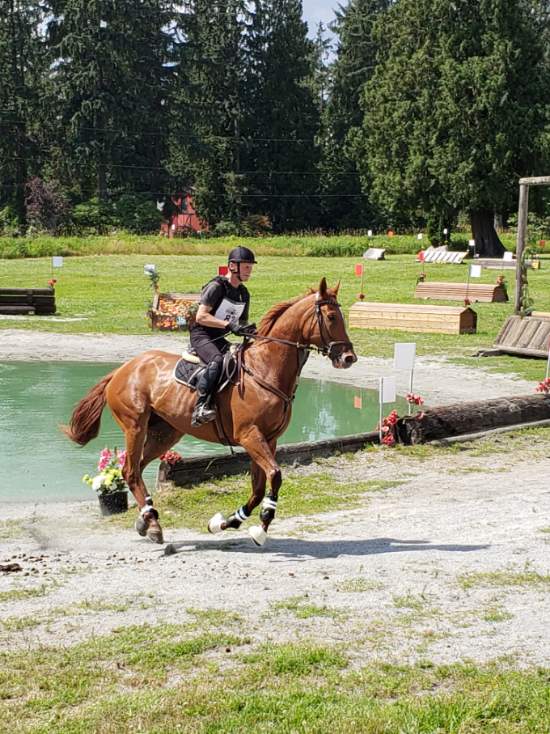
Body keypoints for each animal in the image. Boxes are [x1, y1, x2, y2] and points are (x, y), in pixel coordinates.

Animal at [63, 278, 357, 546]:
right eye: (331, 317)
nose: (349, 358)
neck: (266, 368)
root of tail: (122, 369)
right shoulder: (250, 436)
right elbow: (275, 476)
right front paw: (261, 526)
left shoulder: (268, 439)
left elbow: (258, 488)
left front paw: (227, 523)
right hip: (135, 426)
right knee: (132, 471)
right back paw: (154, 525)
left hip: (165, 433)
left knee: (134, 468)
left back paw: (145, 520)